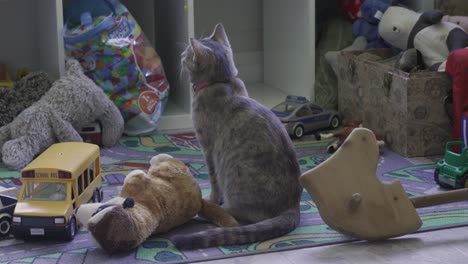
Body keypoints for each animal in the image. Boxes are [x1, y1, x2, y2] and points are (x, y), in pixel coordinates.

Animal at [173, 23, 304, 249]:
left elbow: (213, 181)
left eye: (188, 53)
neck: (222, 82)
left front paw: (211, 198)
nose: (181, 54)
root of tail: (292, 205)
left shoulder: (207, 148)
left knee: (236, 214)